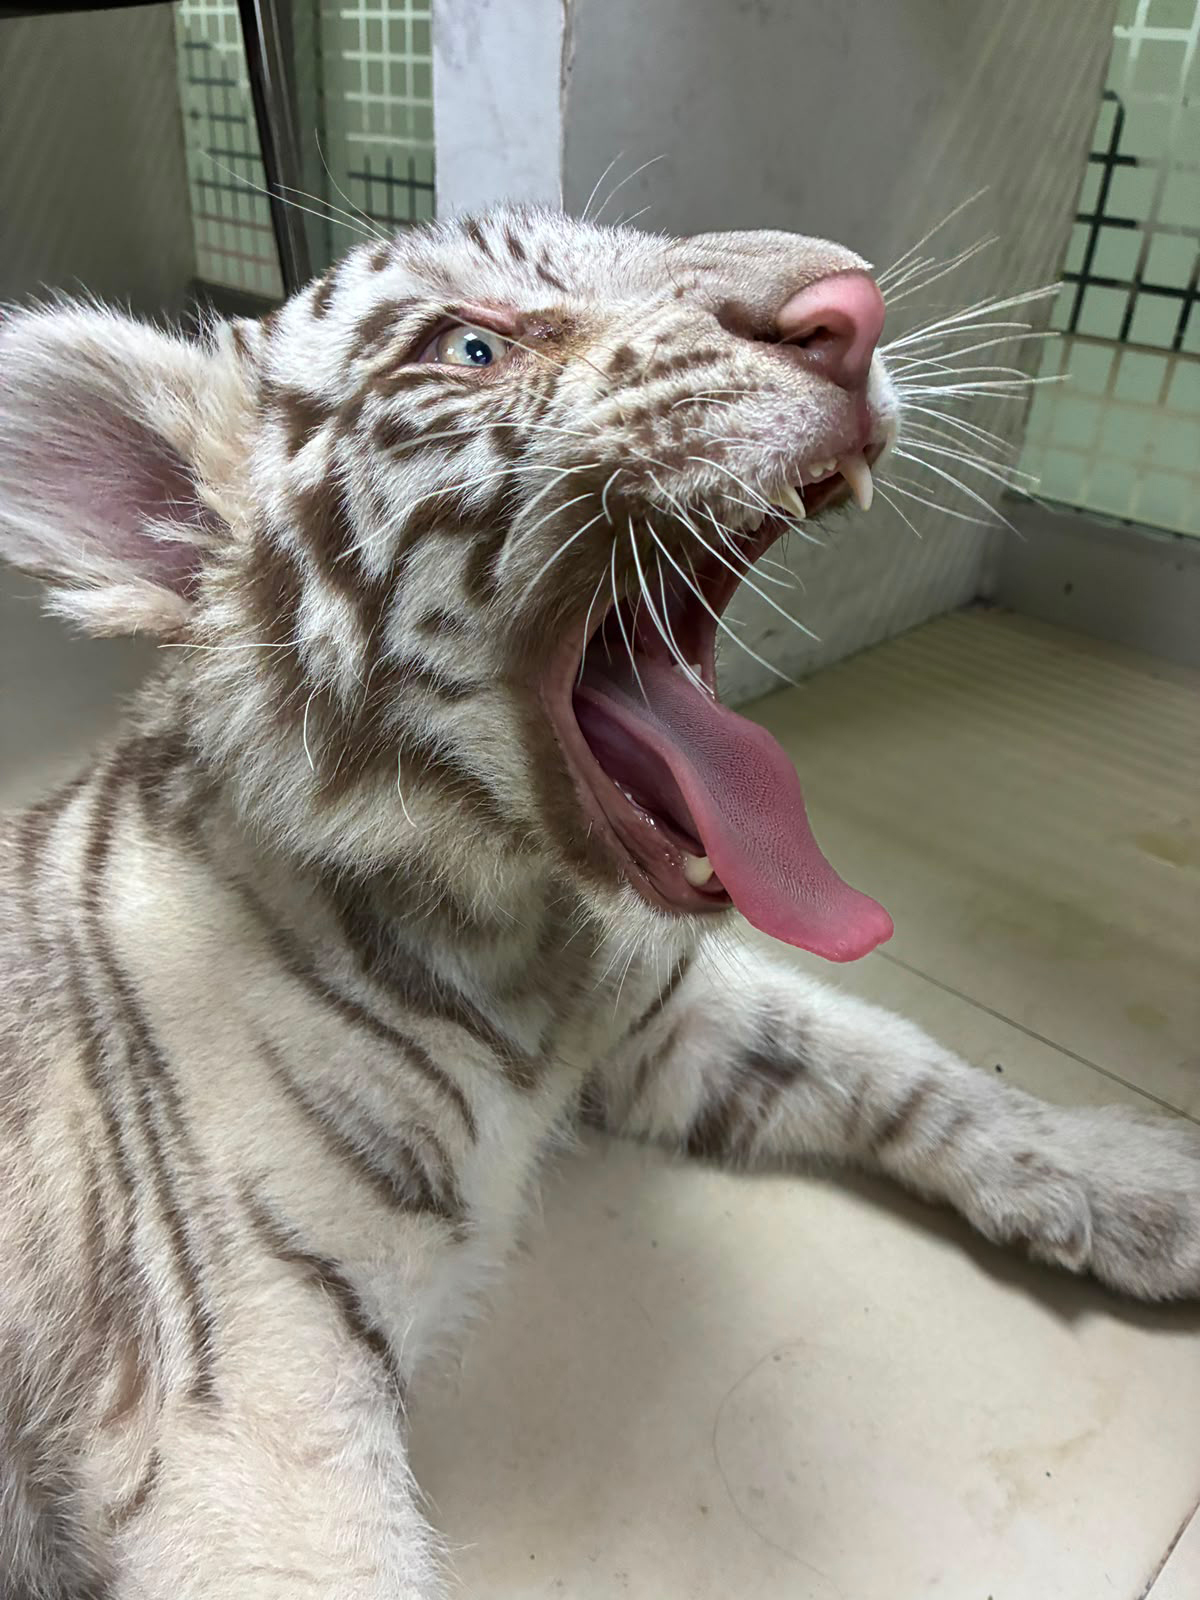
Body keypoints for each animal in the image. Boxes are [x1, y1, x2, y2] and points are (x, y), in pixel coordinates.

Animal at [1, 205, 1196, 1599]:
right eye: (470, 346)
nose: (854, 311)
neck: (519, 937)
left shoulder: (662, 1017)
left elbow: (898, 1056)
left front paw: (1135, 1179)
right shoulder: (251, 1400)